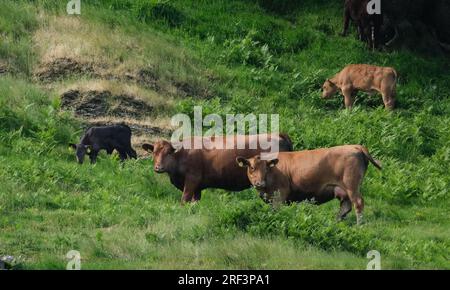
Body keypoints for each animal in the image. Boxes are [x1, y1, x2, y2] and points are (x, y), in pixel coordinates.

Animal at [142, 134, 294, 204]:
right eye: (154, 152)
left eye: (168, 152)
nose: (158, 167)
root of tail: (277, 134)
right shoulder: (197, 187)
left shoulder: (192, 180)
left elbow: (184, 199)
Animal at [237, 145, 382, 224]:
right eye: (252, 168)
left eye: (266, 168)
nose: (260, 183)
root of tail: (355, 146)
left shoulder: (280, 194)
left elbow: (276, 211)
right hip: (344, 190)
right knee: (345, 207)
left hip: (351, 185)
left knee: (358, 203)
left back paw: (359, 226)